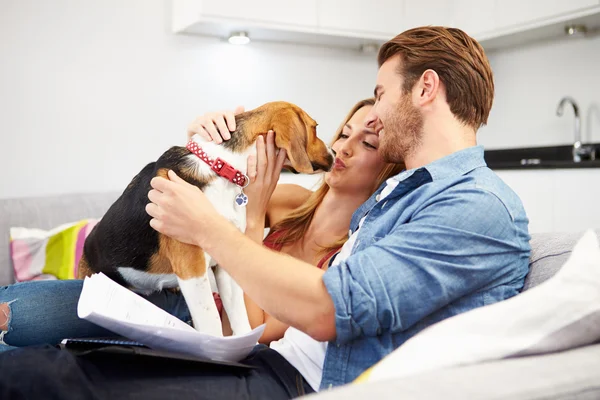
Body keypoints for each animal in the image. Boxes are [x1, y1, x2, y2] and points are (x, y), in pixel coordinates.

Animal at [76, 101, 332, 338]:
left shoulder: (226, 264)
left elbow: (240, 320)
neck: (221, 169)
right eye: (315, 128)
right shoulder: (192, 266)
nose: (333, 154)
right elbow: (212, 323)